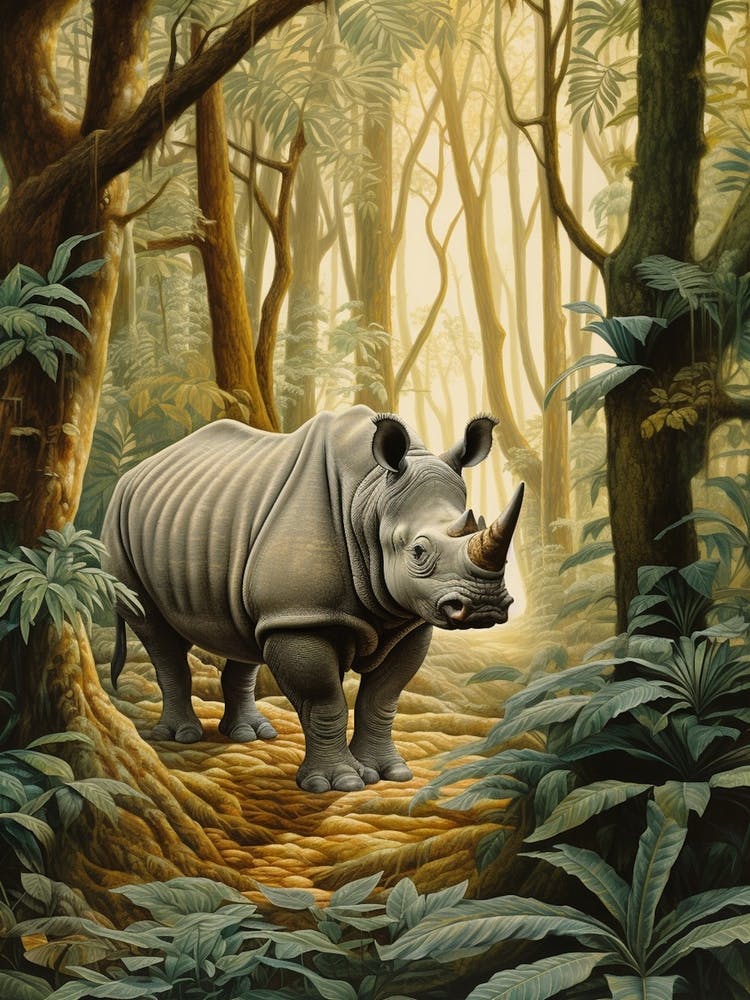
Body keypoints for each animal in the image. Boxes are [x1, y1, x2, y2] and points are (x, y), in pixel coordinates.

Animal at [102, 405, 523, 793]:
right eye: (418, 552)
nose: (485, 606)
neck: (371, 497)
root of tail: (133, 474)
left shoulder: (406, 620)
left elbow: (382, 698)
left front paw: (390, 773)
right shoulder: (301, 617)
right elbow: (325, 701)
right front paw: (340, 784)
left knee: (244, 631)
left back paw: (251, 734)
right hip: (119, 522)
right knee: (156, 632)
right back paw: (181, 736)